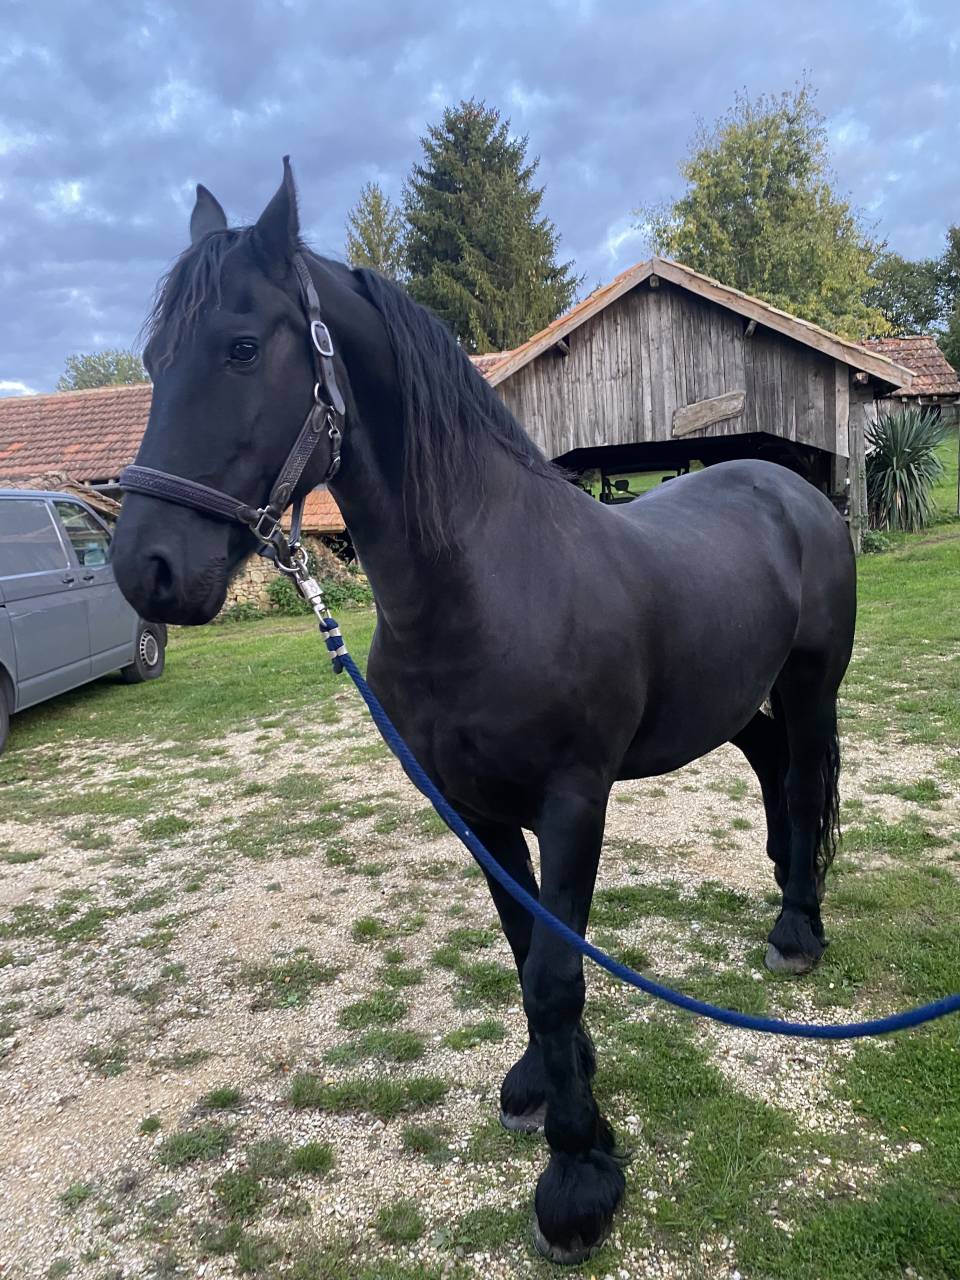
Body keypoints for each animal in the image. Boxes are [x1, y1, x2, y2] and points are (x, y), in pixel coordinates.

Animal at [111, 160, 856, 1265]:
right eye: (155, 359)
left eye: (242, 347)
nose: (144, 568)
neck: (487, 582)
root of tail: (788, 486)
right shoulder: (475, 805)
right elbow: (522, 943)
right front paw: (547, 1082)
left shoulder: (574, 800)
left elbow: (555, 971)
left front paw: (579, 1177)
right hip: (728, 700)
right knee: (770, 768)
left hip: (810, 685)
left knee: (804, 785)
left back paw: (798, 926)